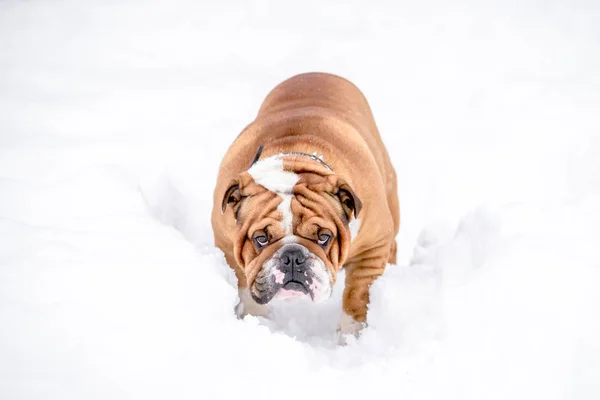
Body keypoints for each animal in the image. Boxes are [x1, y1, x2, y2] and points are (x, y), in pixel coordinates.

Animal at [211, 72, 398, 334]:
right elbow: (246, 288)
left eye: (324, 237)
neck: (293, 159)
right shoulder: (227, 246)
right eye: (261, 239)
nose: (292, 256)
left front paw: (351, 335)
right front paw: (256, 320)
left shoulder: (372, 249)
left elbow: (357, 298)